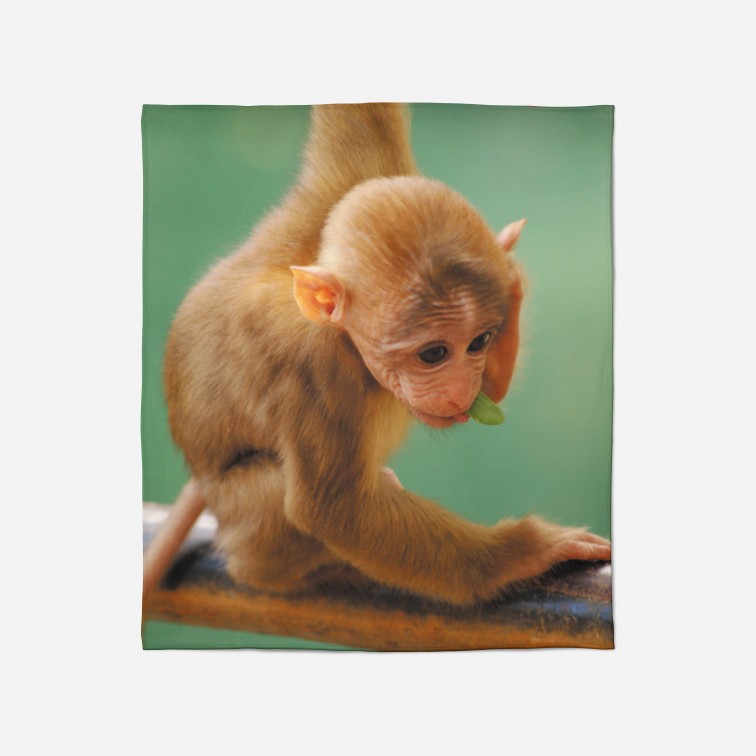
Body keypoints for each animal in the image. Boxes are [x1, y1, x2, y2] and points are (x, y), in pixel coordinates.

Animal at [146, 103, 610, 607]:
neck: (345, 337)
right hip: (240, 518)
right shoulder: (314, 371)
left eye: (480, 342)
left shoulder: (357, 179)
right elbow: (337, 510)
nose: (460, 391)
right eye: (433, 353)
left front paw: (511, 271)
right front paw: (523, 551)